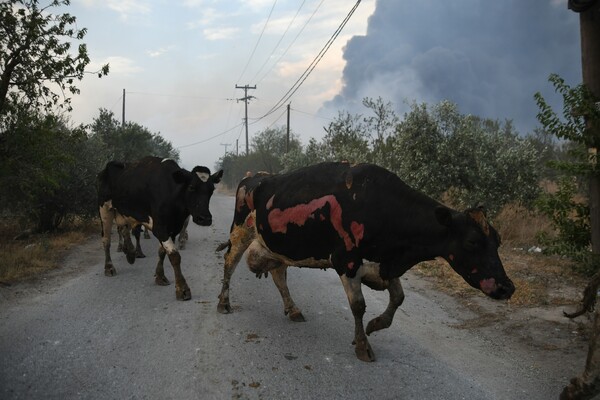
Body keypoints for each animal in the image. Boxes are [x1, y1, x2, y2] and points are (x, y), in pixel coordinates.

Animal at [98, 156, 223, 300]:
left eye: (211, 190)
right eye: (191, 187)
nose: (205, 218)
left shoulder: (173, 228)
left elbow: (162, 252)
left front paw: (160, 276)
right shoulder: (160, 228)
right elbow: (174, 256)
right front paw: (182, 289)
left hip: (124, 213)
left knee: (124, 230)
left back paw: (130, 253)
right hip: (105, 210)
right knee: (106, 240)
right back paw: (109, 267)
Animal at [217, 161, 516, 360]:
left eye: (498, 240)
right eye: (472, 242)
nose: (507, 287)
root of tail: (254, 177)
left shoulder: (383, 263)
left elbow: (398, 298)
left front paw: (375, 325)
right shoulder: (346, 260)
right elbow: (358, 305)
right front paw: (363, 345)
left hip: (277, 247)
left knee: (279, 275)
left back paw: (293, 310)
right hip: (240, 231)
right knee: (229, 263)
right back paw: (223, 303)